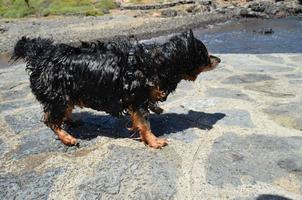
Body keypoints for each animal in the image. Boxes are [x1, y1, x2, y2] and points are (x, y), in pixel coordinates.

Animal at [12, 30, 219, 148]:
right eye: (205, 54)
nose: (218, 59)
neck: (158, 62)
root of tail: (41, 54)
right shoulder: (137, 99)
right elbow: (145, 123)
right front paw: (154, 141)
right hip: (57, 95)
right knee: (50, 120)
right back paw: (67, 138)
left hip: (67, 92)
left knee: (63, 111)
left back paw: (70, 120)